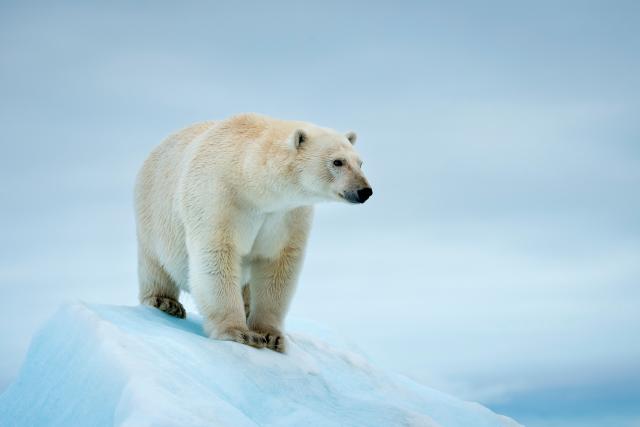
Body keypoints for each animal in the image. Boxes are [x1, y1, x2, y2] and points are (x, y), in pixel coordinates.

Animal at [134, 113, 372, 352]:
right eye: (337, 161)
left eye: (360, 163)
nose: (365, 191)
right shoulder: (218, 196)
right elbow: (217, 254)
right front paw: (239, 333)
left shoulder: (287, 215)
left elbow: (278, 265)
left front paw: (271, 336)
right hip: (153, 213)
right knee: (155, 264)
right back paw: (165, 302)